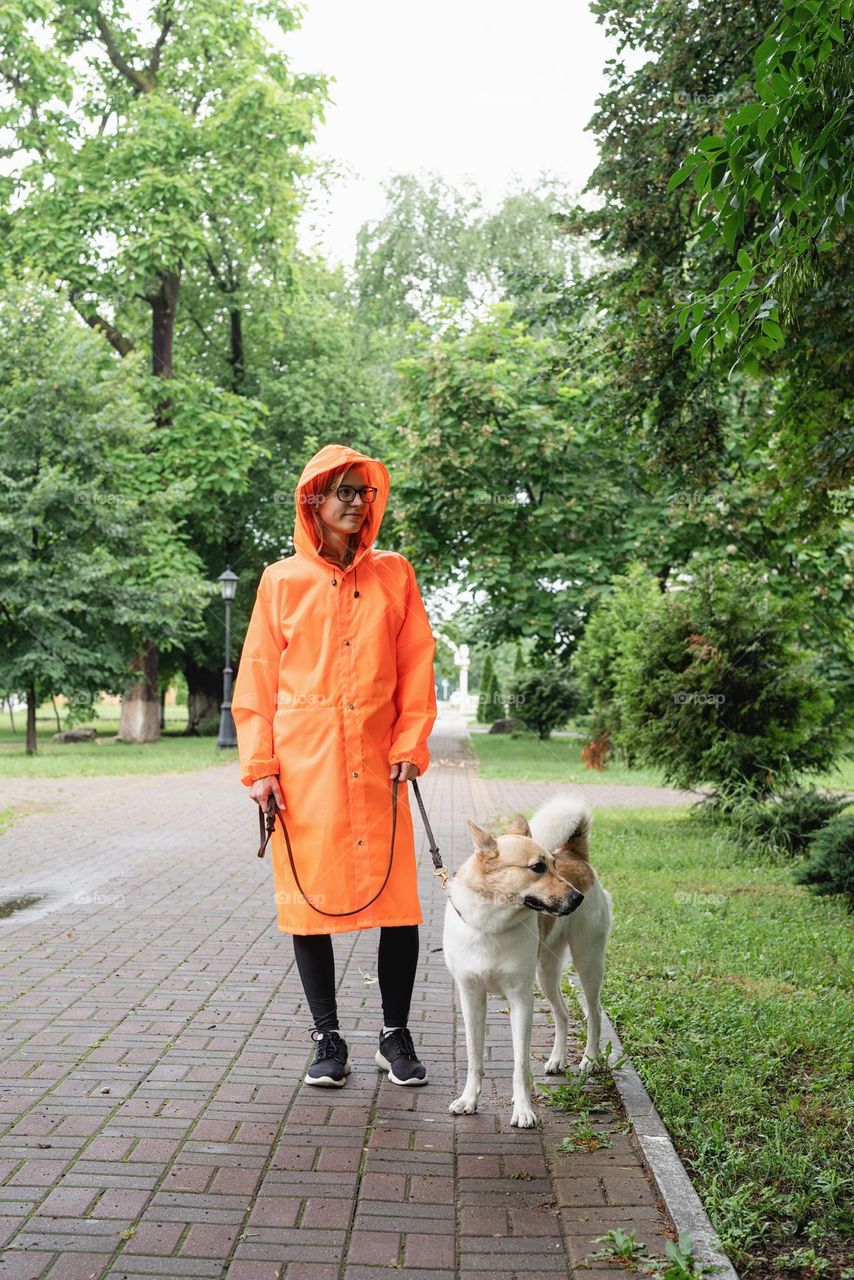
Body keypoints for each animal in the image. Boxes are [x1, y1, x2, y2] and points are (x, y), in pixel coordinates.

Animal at [445, 788, 612, 1131]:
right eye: (537, 867)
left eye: (554, 865)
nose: (577, 898)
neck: (491, 925)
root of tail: (576, 855)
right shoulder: (471, 997)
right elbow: (474, 1057)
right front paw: (469, 1100)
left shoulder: (521, 1000)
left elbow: (520, 1064)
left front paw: (523, 1110)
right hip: (545, 973)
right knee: (563, 1014)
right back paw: (557, 1059)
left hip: (588, 964)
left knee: (594, 1013)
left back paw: (589, 1060)